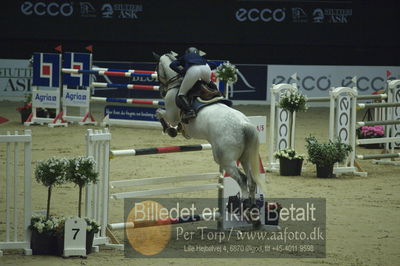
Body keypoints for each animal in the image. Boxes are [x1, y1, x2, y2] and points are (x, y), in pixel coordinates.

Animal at [153, 51, 268, 208]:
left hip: (225, 160)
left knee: (243, 179)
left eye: (157, 70)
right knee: (252, 181)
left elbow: (159, 112)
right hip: (246, 157)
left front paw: (170, 130)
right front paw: (179, 130)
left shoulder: (172, 115)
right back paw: (251, 205)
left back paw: (242, 204)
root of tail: (245, 125)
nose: (161, 90)